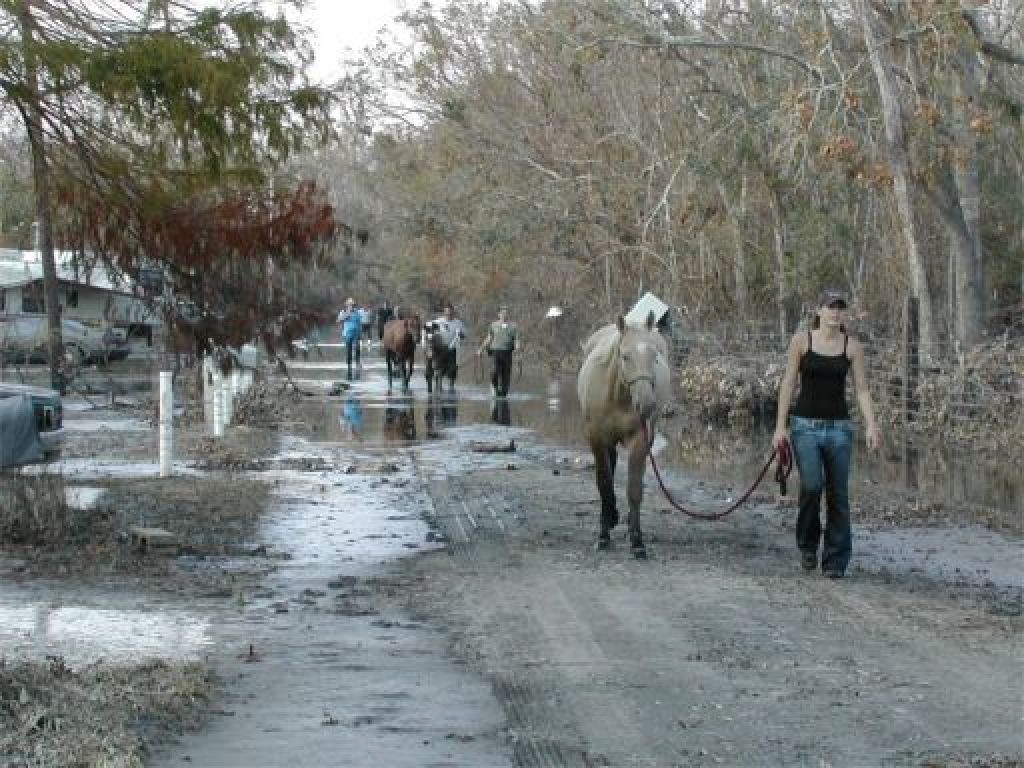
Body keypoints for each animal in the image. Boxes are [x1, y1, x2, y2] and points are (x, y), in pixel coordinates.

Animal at [577, 313, 671, 561]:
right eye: (625, 356)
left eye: (653, 356)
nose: (646, 404)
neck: (618, 397)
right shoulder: (597, 438)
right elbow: (604, 483)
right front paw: (603, 535)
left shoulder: (640, 440)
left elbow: (634, 488)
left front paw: (637, 541)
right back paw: (610, 517)